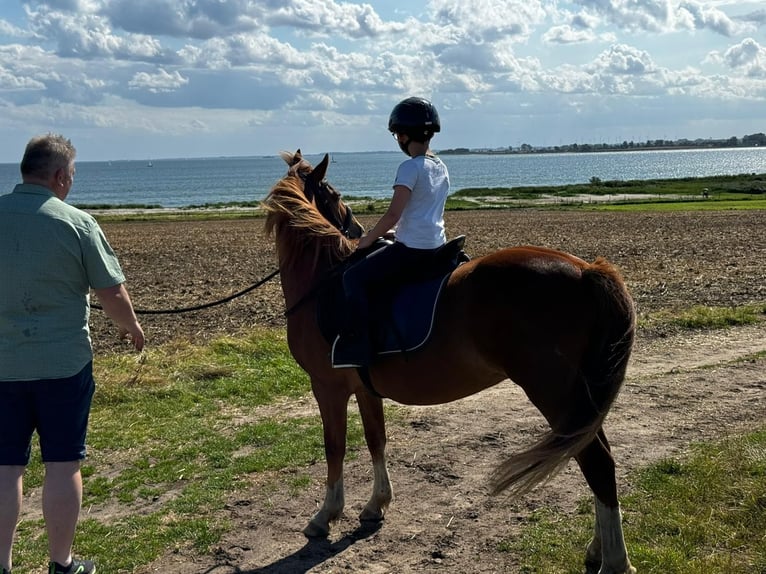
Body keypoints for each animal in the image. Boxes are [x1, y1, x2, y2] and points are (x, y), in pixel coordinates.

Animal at [266, 151, 640, 572]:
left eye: (333, 193)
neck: (321, 285)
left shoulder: (327, 388)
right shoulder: (363, 389)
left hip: (554, 392)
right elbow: (376, 439)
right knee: (591, 453)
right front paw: (376, 505)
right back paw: (598, 550)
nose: (359, 229)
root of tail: (588, 270)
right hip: (579, 397)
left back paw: (615, 561)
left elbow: (334, 447)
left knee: (597, 463)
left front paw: (325, 515)